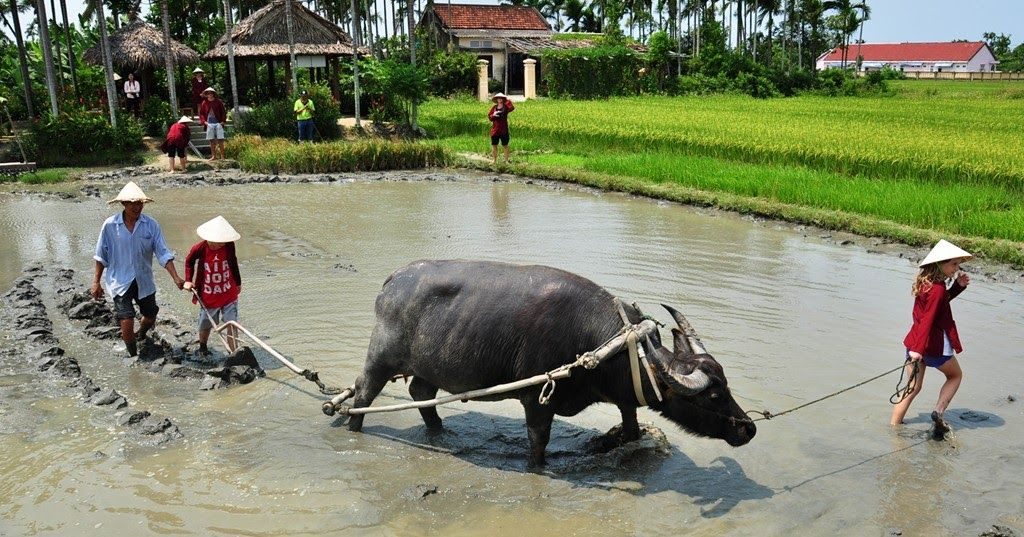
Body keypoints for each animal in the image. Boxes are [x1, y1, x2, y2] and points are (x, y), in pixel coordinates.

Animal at [348, 260, 757, 465]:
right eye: (713, 396)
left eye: (727, 385)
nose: (749, 428)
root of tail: (393, 280)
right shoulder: (537, 399)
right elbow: (538, 443)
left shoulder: (624, 398)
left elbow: (630, 428)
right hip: (380, 358)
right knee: (362, 395)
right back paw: (353, 428)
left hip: (429, 364)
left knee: (421, 393)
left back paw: (439, 432)